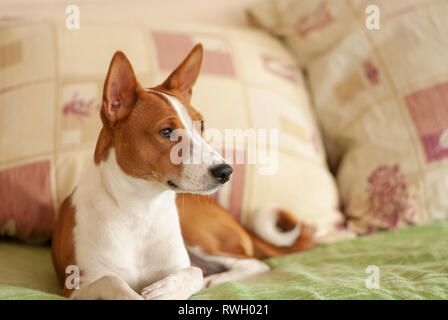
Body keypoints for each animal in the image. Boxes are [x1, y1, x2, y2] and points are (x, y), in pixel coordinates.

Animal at [50, 44, 314, 300]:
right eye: (166, 132)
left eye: (201, 125)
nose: (226, 171)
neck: (141, 209)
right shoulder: (75, 285)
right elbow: (113, 282)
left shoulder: (180, 264)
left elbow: (192, 273)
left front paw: (166, 289)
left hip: (197, 233)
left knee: (252, 263)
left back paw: (213, 280)